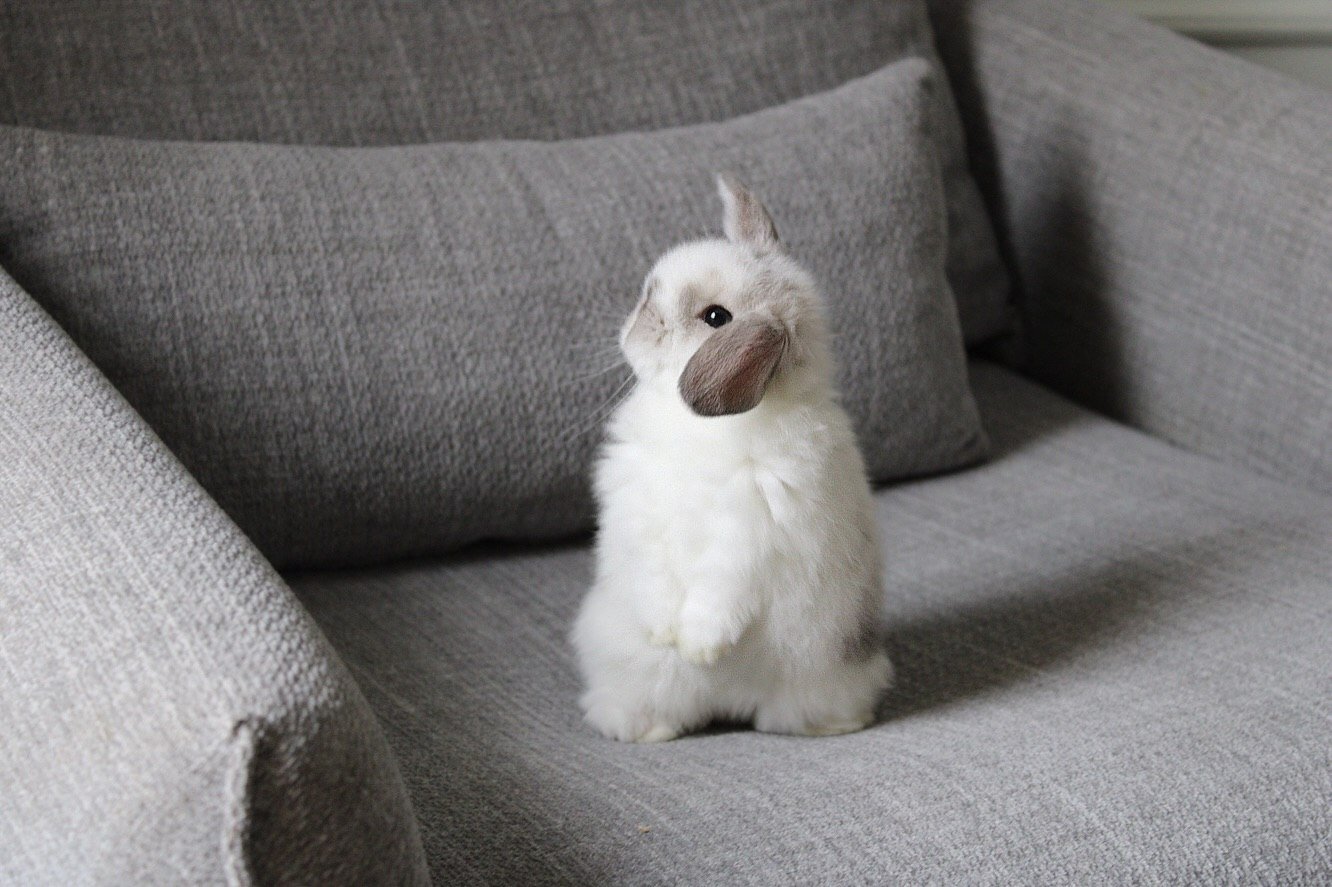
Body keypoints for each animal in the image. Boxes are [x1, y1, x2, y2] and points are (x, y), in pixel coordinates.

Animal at [571, 174, 893, 743]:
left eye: (715, 318)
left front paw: (698, 647)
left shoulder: (752, 529)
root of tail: (729, 705)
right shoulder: (638, 512)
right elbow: (653, 574)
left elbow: (719, 591)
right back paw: (644, 729)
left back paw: (836, 724)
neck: (703, 427)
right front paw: (666, 633)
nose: (641, 317)